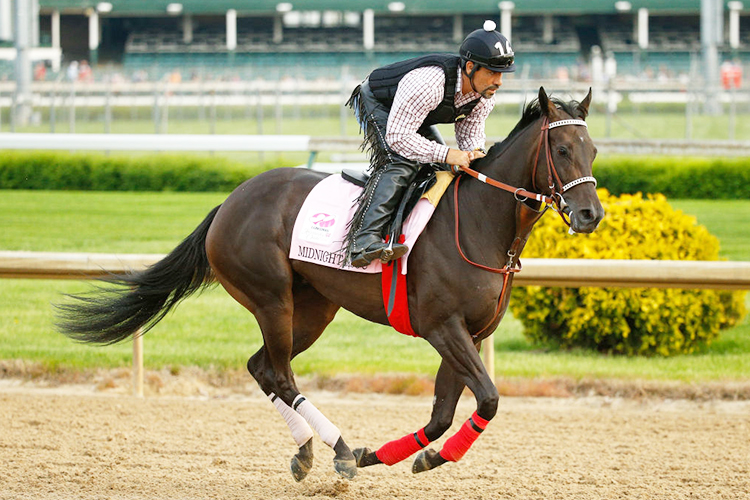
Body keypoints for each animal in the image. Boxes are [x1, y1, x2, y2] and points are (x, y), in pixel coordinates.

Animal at [61, 88, 608, 482]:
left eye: (594, 150)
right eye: (562, 149)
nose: (590, 215)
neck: (477, 223)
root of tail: (230, 201)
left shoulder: (468, 333)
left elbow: (443, 411)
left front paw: (406, 456)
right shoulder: (442, 327)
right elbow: (488, 399)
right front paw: (381, 455)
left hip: (314, 307)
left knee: (261, 367)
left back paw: (308, 451)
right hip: (271, 299)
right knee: (280, 373)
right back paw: (338, 449)